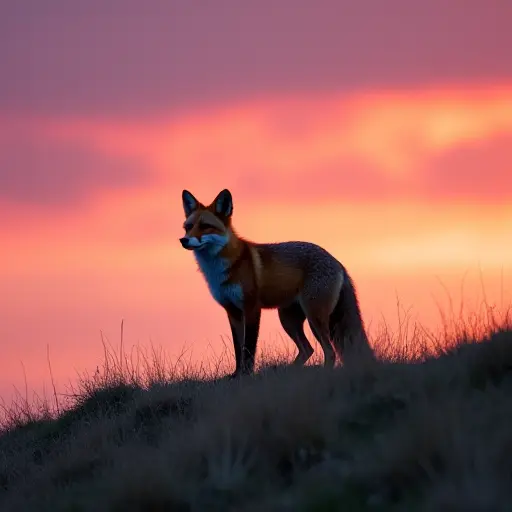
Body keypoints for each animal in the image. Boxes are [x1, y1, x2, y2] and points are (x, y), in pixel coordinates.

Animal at [179, 190, 372, 378]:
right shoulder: (232, 311)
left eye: (205, 226)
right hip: (288, 319)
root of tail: (338, 262)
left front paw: (247, 375)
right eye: (188, 227)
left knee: (329, 352)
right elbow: (238, 349)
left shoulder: (251, 308)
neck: (222, 268)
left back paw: (322, 374)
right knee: (307, 349)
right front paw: (236, 375)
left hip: (314, 317)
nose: (183, 240)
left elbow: (249, 348)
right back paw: (288, 372)